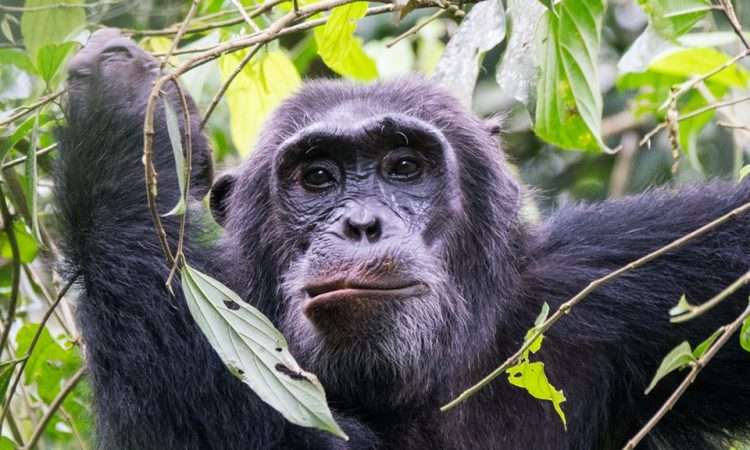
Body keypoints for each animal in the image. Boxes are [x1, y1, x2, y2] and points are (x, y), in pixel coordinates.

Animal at [55, 29, 750, 448]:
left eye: (404, 167)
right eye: (318, 177)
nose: (361, 223)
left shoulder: (632, 271)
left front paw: (121, 110)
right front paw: (119, 124)